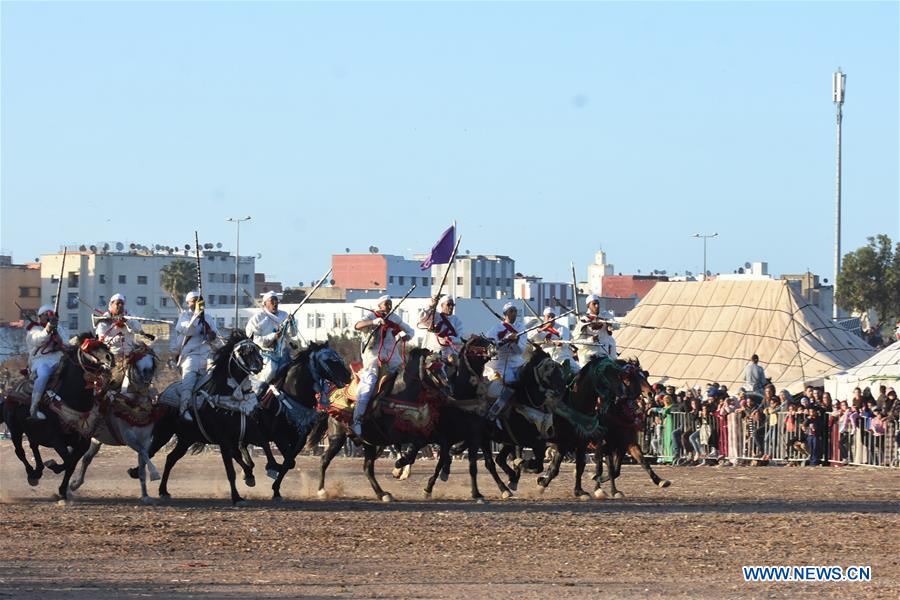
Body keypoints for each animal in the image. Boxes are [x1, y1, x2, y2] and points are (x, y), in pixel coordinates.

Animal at [0, 332, 114, 502]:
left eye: (105, 345)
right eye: (89, 348)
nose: (109, 358)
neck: (73, 401)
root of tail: (10, 393)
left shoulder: (83, 442)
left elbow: (71, 463)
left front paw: (62, 490)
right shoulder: (56, 439)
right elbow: (67, 460)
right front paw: (53, 466)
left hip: (31, 432)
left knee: (33, 446)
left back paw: (38, 470)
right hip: (15, 429)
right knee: (20, 451)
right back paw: (32, 474)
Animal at [68, 340, 165, 504]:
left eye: (151, 361)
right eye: (136, 363)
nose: (147, 374)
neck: (134, 406)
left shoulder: (145, 439)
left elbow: (143, 462)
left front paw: (145, 495)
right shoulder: (129, 438)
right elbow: (143, 453)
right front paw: (154, 474)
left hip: (96, 439)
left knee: (86, 459)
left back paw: (75, 484)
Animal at [596, 358, 672, 500]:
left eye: (645, 375)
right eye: (632, 377)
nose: (651, 393)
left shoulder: (627, 444)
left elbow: (641, 462)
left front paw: (660, 481)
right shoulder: (607, 445)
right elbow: (610, 469)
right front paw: (602, 486)